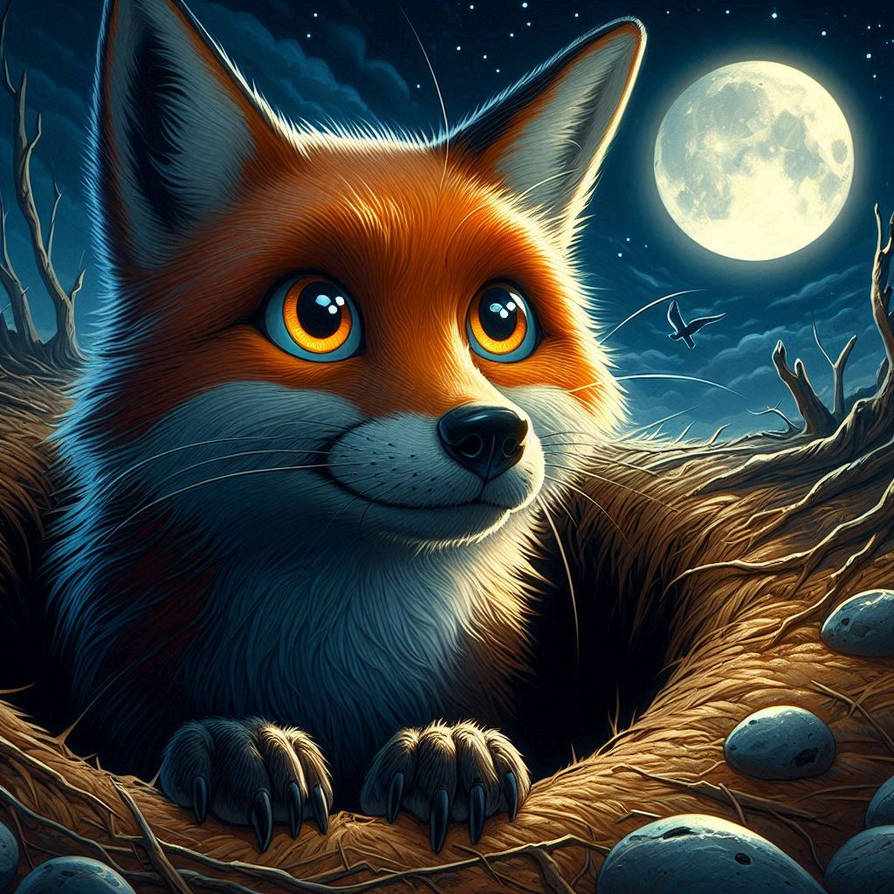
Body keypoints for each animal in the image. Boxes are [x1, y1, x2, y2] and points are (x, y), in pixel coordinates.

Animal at [46, 0, 645, 854]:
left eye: (501, 320)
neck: (343, 651)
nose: (492, 434)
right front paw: (241, 742)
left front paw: (446, 744)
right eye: (320, 315)